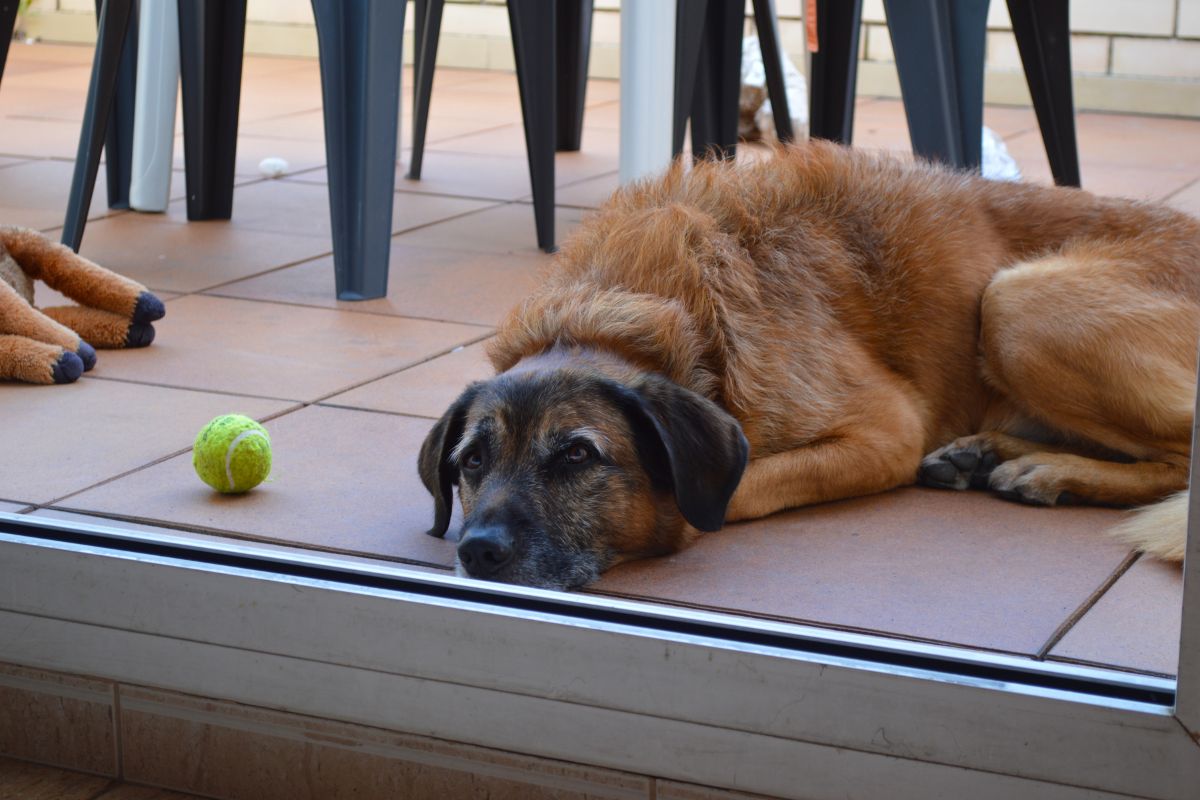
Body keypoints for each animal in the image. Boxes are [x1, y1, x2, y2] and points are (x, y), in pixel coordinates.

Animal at [417, 140, 1195, 587]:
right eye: (470, 462)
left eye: (578, 456)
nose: (478, 552)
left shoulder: (885, 434)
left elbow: (742, 486)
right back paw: (985, 452)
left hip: (1014, 303)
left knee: (1180, 460)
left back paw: (1049, 470)